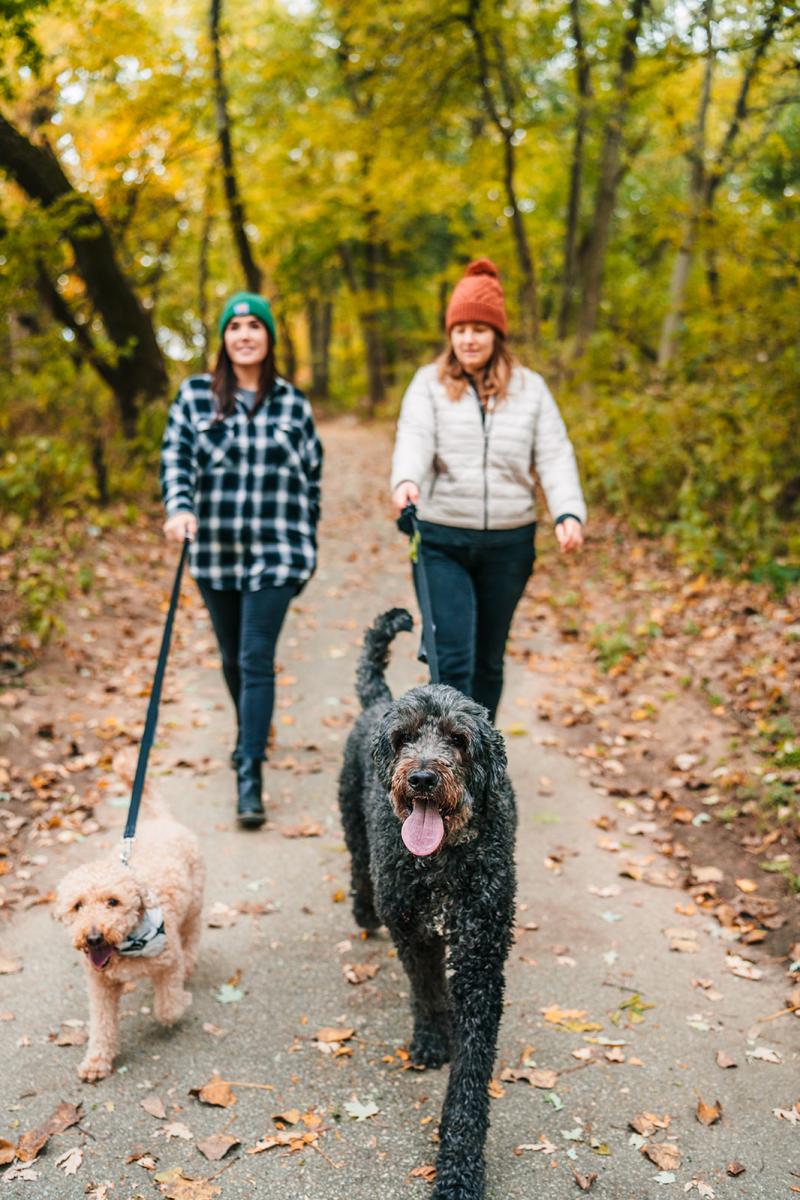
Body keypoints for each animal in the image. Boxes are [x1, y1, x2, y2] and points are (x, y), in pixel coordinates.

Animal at [340, 609, 520, 1200]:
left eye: (458, 740)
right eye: (403, 739)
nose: (421, 777)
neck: (441, 864)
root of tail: (376, 702)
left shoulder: (482, 954)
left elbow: (471, 1075)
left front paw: (460, 1166)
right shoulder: (410, 928)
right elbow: (425, 988)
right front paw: (430, 1037)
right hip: (353, 822)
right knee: (358, 865)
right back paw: (361, 910)